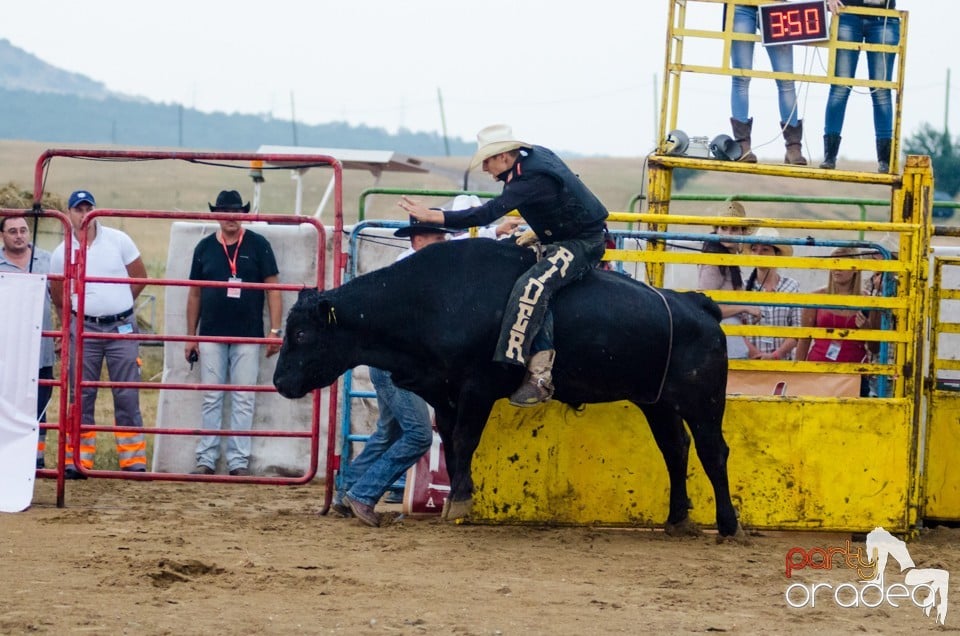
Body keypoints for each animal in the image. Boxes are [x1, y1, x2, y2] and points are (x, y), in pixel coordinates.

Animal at [274, 238, 740, 536]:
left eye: (301, 334)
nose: (279, 382)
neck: (428, 300)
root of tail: (696, 305)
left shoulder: (478, 388)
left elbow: (466, 438)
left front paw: (460, 499)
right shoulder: (443, 393)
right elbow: (451, 441)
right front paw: (455, 496)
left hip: (704, 401)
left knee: (713, 452)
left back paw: (728, 524)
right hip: (657, 402)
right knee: (675, 450)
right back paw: (677, 519)